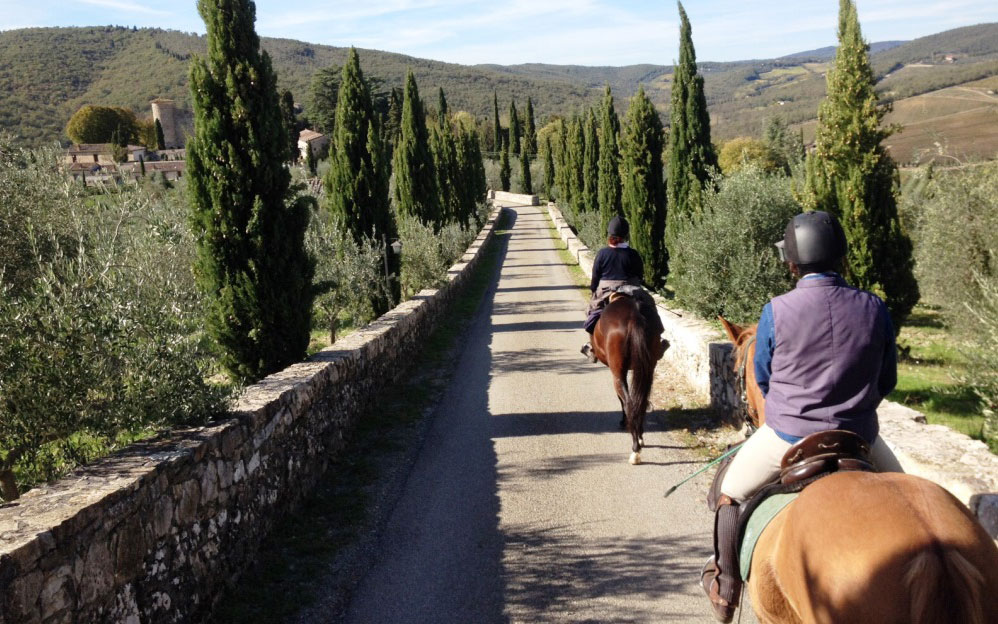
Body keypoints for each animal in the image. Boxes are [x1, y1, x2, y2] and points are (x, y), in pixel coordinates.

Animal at [592, 296, 664, 464]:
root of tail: (634, 315)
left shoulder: (618, 373)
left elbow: (621, 399)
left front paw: (623, 422)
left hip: (618, 372)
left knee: (629, 403)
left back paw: (635, 450)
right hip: (648, 368)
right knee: (641, 402)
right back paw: (640, 437)